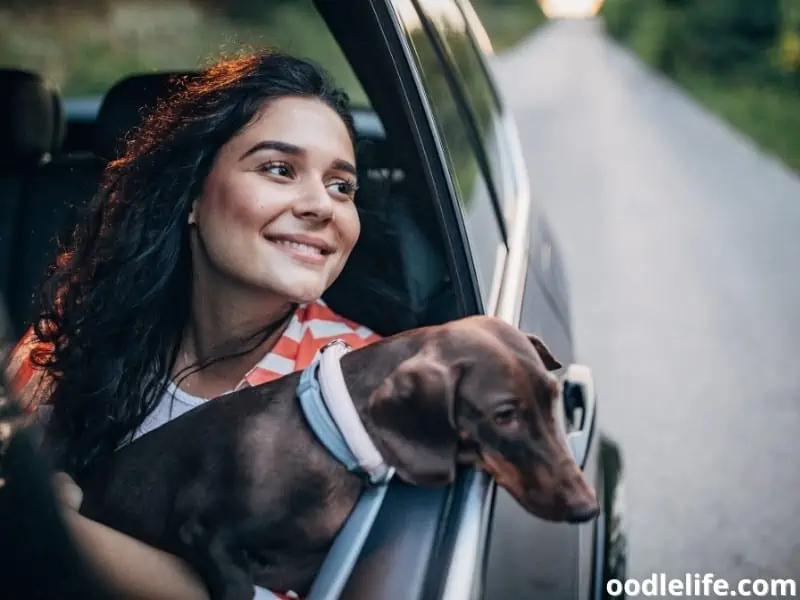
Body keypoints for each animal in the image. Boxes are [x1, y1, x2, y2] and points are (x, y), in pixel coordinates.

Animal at [76, 316, 600, 596]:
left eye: (554, 398)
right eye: (505, 415)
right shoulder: (205, 534)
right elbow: (237, 580)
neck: (331, 436)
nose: (588, 508)